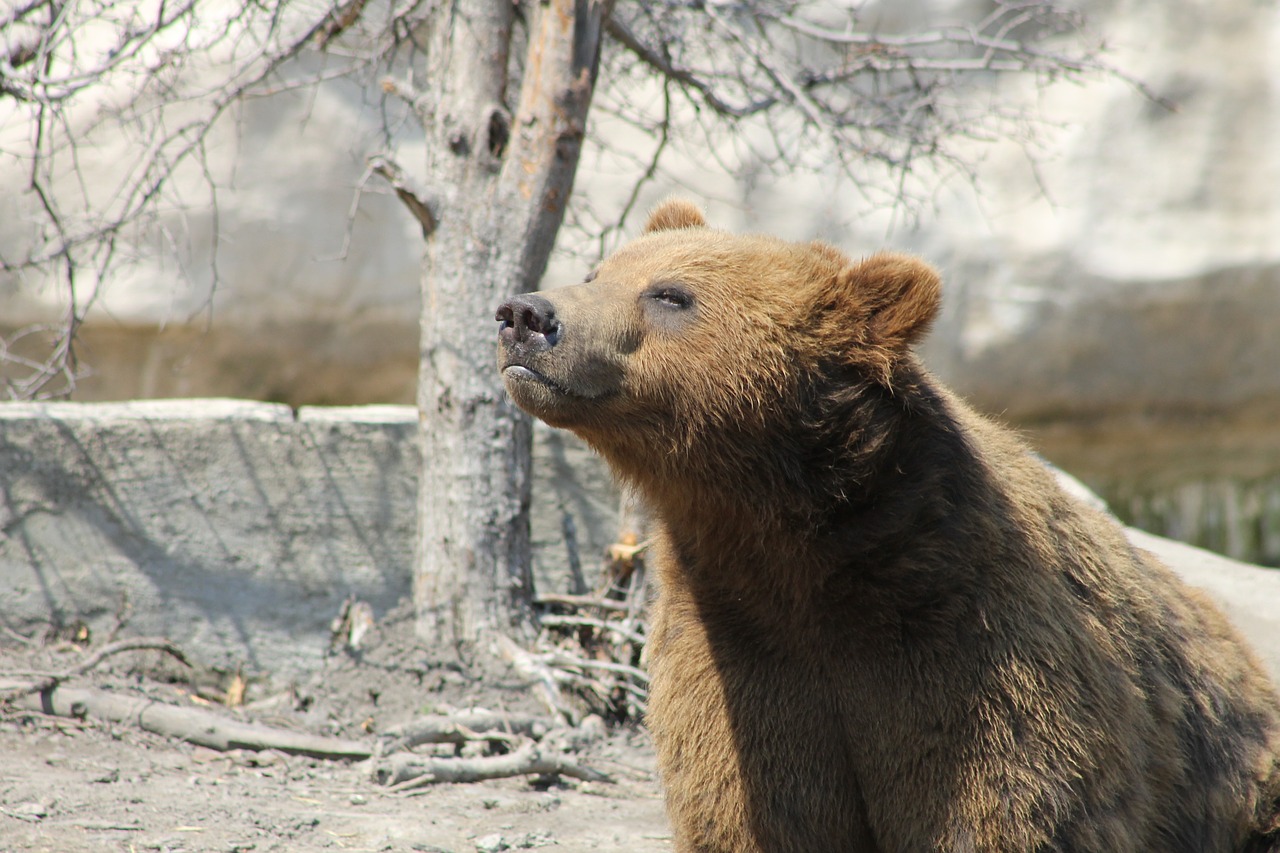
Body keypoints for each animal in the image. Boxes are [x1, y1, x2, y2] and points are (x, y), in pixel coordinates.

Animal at [491, 201, 1280, 850]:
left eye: (670, 294)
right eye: (598, 270)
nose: (526, 314)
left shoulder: (974, 657)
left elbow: (1002, 807)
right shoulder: (740, 656)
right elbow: (756, 811)